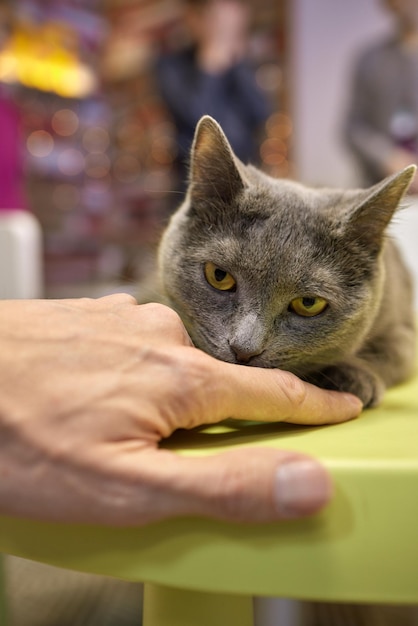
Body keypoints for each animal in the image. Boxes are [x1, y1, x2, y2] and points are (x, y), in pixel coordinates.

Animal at [158, 114, 416, 408]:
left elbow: (392, 353)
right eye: (219, 276)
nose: (243, 350)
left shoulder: (405, 330)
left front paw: (353, 375)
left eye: (308, 303)